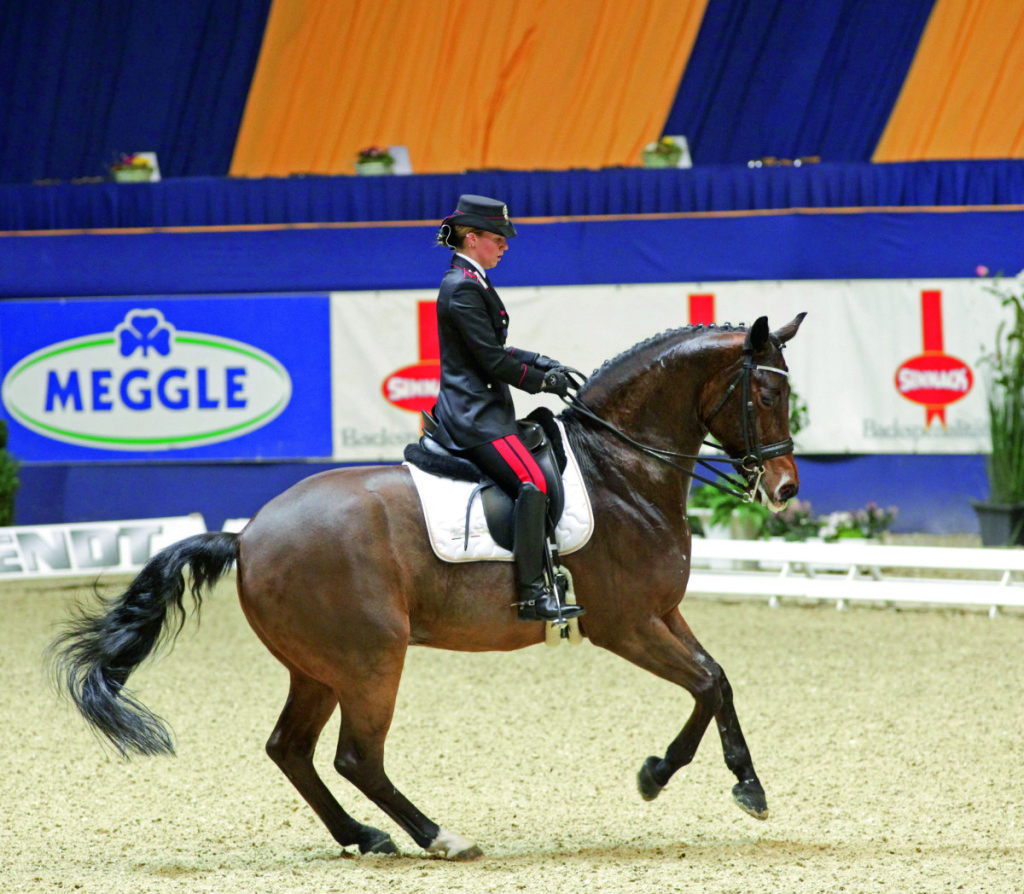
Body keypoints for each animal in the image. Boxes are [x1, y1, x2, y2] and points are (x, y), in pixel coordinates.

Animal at [51, 311, 806, 856]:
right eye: (768, 393)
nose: (784, 489)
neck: (619, 469)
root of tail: (248, 536)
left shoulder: (662, 613)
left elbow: (717, 681)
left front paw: (744, 785)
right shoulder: (625, 624)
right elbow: (704, 683)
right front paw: (659, 775)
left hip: (318, 667)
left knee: (290, 749)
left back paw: (365, 837)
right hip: (369, 660)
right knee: (357, 757)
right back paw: (438, 836)